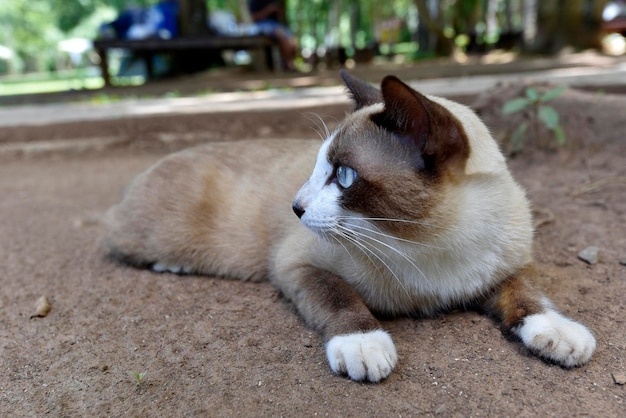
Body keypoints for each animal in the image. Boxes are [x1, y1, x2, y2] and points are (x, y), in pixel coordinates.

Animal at [105, 71, 596, 382]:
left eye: (343, 176)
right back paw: (172, 265)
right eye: (319, 169)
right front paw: (364, 345)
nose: (296, 207)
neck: (425, 246)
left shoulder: (506, 269)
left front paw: (559, 335)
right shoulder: (299, 266)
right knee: (118, 242)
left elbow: (529, 297)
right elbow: (340, 298)